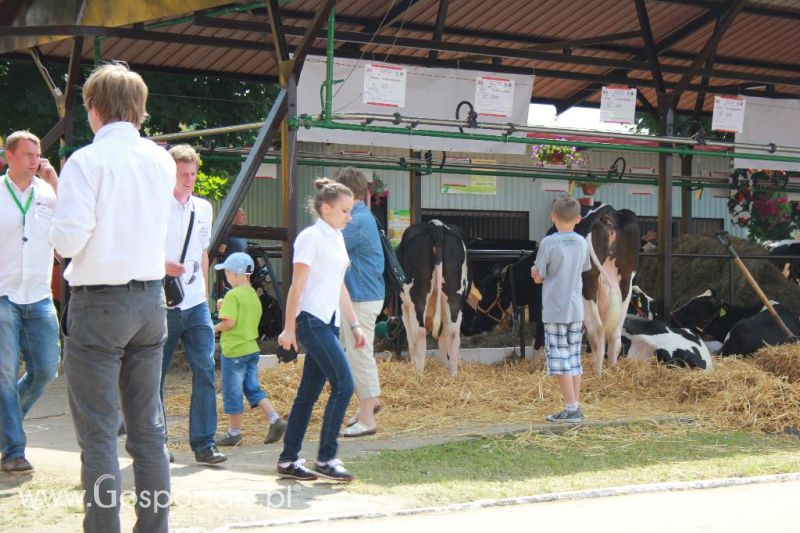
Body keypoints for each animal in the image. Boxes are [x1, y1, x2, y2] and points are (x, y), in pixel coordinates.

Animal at [396, 218, 468, 376]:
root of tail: (436, 225)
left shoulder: (404, 307)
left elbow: (410, 337)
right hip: (455, 296)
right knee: (452, 333)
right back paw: (453, 375)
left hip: (417, 298)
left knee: (419, 333)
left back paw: (419, 374)